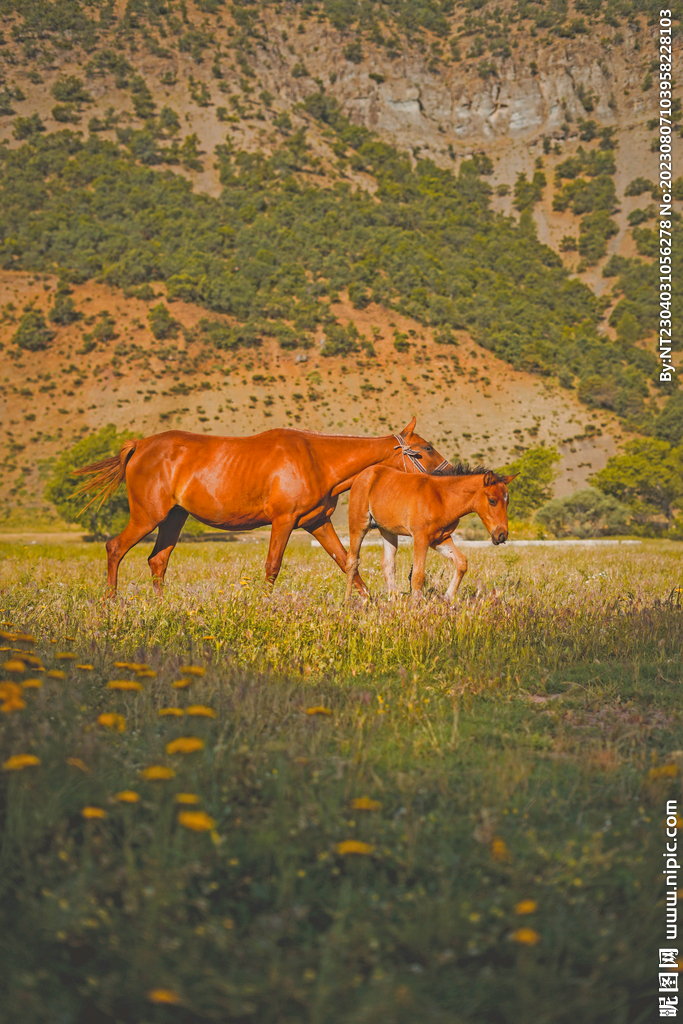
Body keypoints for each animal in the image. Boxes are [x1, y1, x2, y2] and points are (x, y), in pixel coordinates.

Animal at [72, 418, 449, 597]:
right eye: (426, 448)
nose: (448, 473)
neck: (317, 459)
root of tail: (140, 445)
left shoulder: (317, 523)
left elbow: (347, 563)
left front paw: (368, 603)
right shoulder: (283, 521)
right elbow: (272, 566)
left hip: (173, 519)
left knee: (157, 560)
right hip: (147, 516)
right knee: (115, 548)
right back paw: (111, 601)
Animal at [345, 463, 515, 602]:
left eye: (507, 501)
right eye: (492, 500)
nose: (501, 535)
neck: (442, 498)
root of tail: (364, 474)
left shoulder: (440, 539)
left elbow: (461, 563)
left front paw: (447, 598)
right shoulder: (421, 538)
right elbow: (418, 575)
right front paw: (417, 606)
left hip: (388, 530)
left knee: (387, 564)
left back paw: (394, 601)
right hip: (358, 525)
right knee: (352, 561)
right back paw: (348, 601)